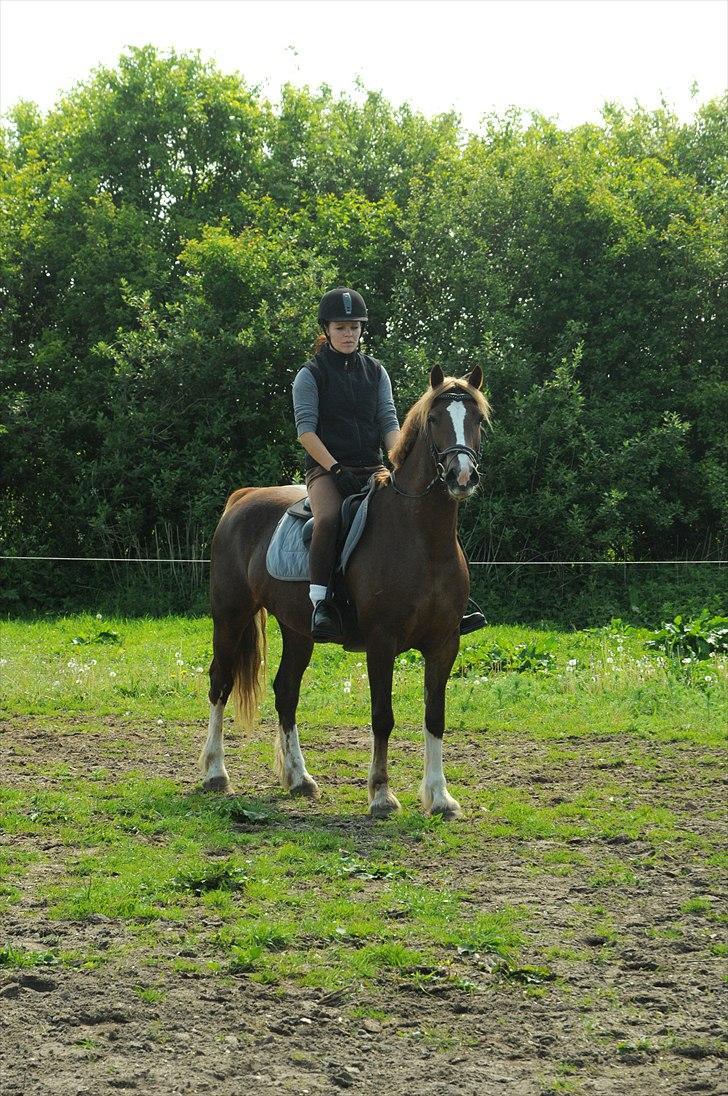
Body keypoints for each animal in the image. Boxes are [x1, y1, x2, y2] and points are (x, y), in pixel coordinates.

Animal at [199, 363, 488, 819]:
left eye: (476, 419)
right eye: (435, 419)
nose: (461, 476)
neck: (422, 538)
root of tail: (241, 500)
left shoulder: (445, 643)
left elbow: (435, 716)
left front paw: (440, 797)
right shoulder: (381, 643)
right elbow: (383, 716)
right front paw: (382, 795)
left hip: (297, 630)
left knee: (285, 692)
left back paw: (300, 779)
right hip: (230, 615)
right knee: (220, 683)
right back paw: (215, 773)